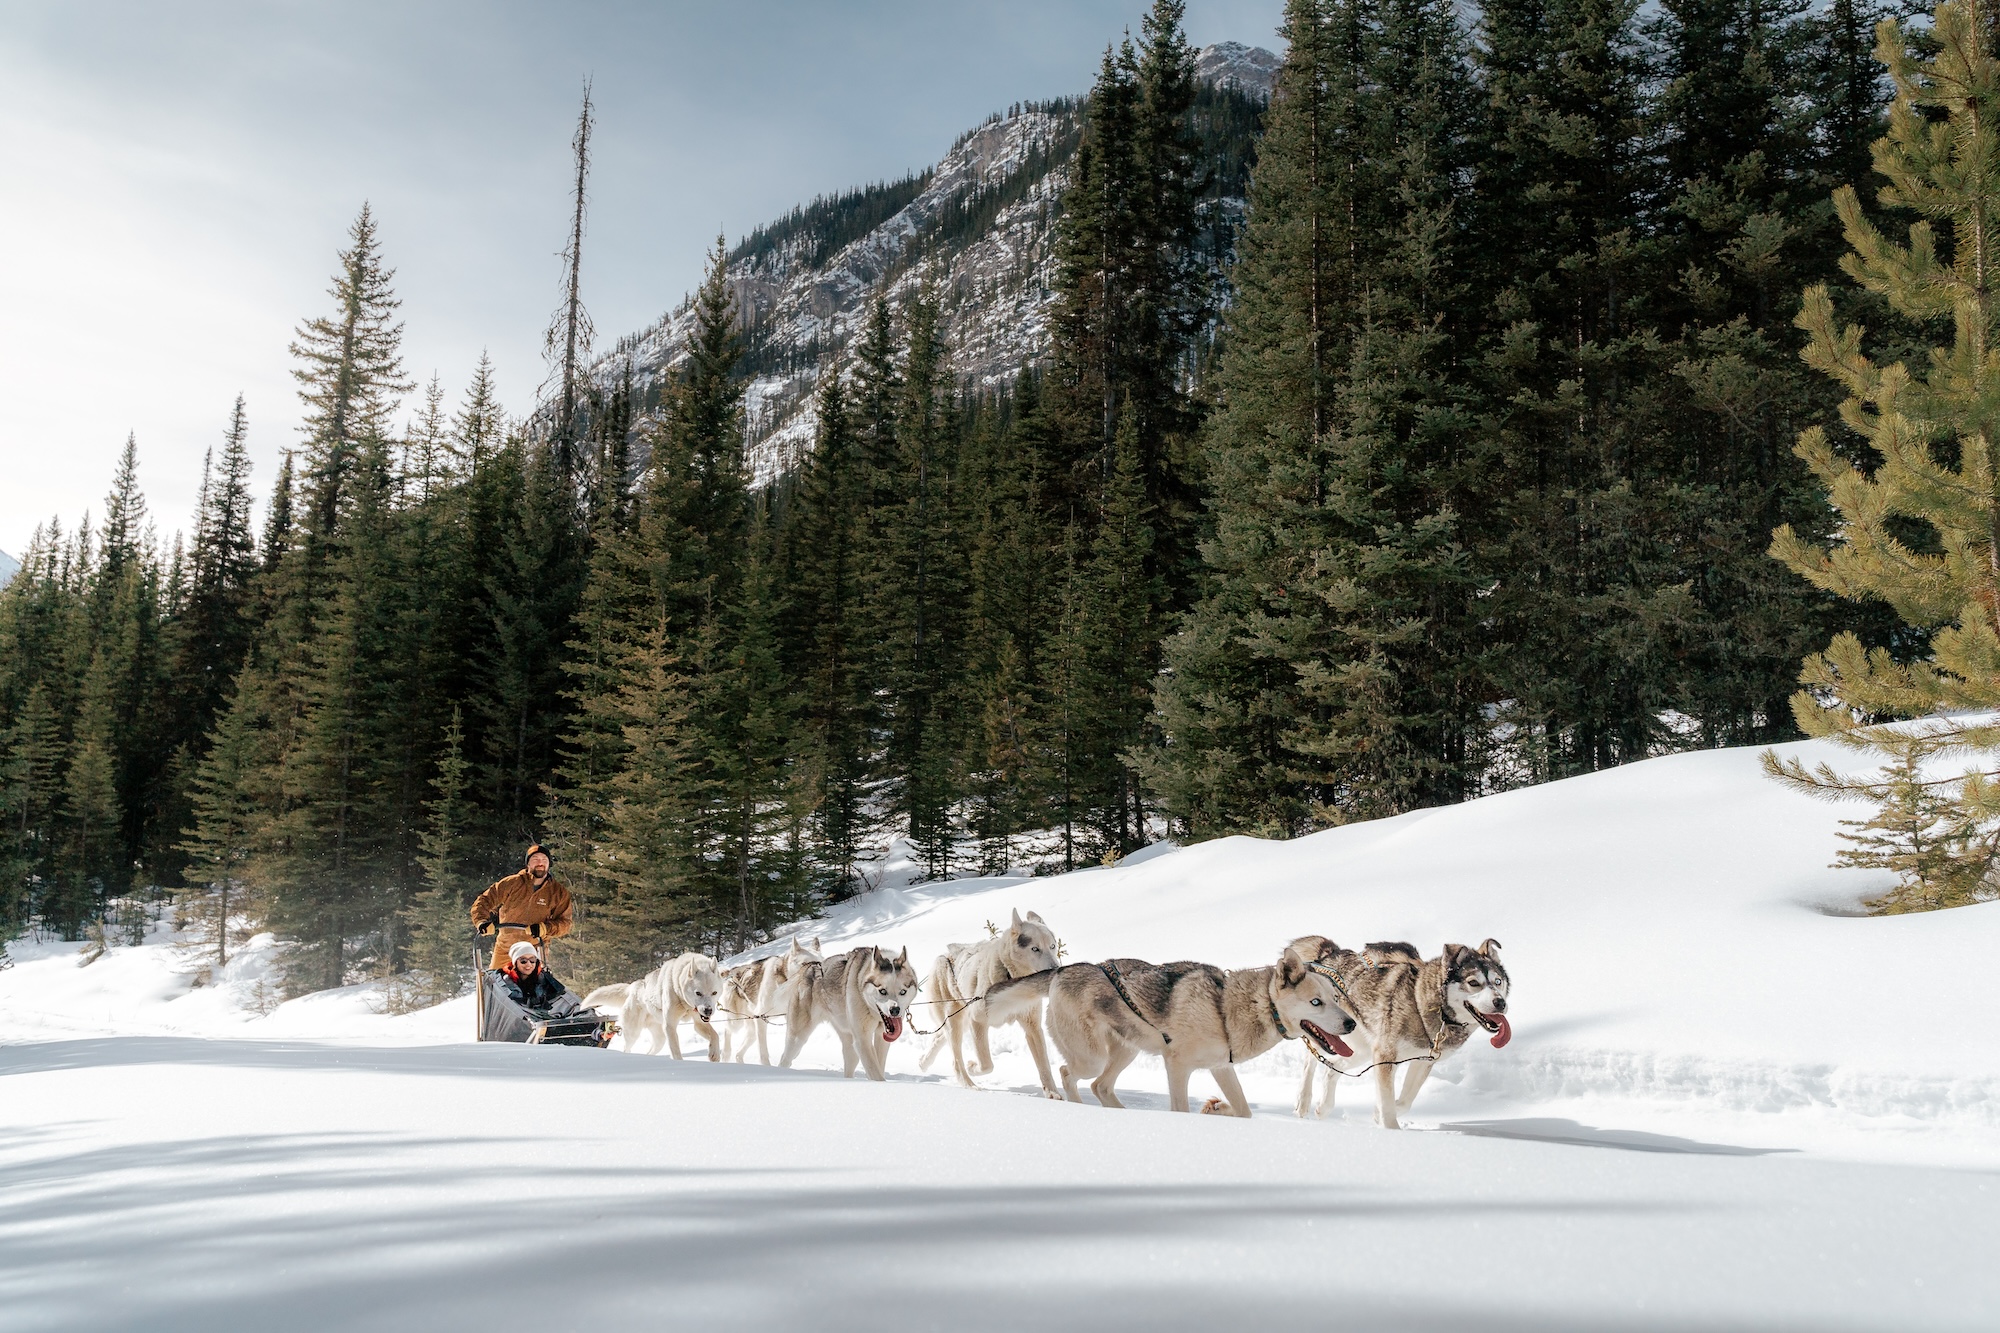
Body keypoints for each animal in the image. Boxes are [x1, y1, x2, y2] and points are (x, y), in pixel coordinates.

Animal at [580, 948, 728, 1056]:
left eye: (714, 993)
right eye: (698, 993)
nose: (708, 1010)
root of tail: (634, 986)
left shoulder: (699, 1022)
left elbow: (715, 1036)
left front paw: (714, 1054)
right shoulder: (670, 1026)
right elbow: (676, 1052)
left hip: (660, 1039)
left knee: (651, 1051)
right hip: (633, 1032)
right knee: (627, 1048)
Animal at [772, 940, 920, 1072]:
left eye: (903, 992)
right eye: (882, 991)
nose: (895, 1010)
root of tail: (811, 967)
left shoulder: (881, 1039)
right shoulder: (862, 1041)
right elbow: (875, 1071)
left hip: (849, 1043)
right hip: (797, 1039)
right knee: (785, 1058)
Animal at [916, 912, 1064, 1088]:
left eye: (1052, 946)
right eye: (1035, 948)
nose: (1055, 969)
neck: (1011, 978)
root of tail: (944, 956)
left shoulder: (1032, 1027)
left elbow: (1044, 1067)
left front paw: (1053, 1092)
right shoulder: (977, 1021)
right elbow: (987, 1064)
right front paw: (973, 1067)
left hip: (961, 1021)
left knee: (939, 1037)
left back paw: (924, 1062)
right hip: (956, 1021)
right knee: (956, 1060)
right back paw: (969, 1085)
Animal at [980, 932, 1360, 1112]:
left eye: (1336, 998)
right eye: (1316, 1002)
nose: (1352, 1025)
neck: (1226, 1006)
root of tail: (1061, 970)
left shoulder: (1221, 1068)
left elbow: (1243, 1111)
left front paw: (1217, 1110)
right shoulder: (1177, 1066)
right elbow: (1181, 1109)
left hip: (1125, 1052)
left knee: (1100, 1086)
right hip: (1092, 1058)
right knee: (1066, 1074)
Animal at [1296, 932, 1512, 1120]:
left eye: (1498, 981)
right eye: (1473, 982)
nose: (1500, 1003)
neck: (1426, 1005)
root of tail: (1331, 954)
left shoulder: (1422, 1060)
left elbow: (1404, 1102)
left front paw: (1378, 1114)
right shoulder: (1385, 1057)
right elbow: (1388, 1104)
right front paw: (1390, 1126)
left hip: (1361, 1049)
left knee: (1332, 1068)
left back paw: (1324, 1107)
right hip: (1331, 1030)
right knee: (1310, 1059)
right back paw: (1303, 1101)